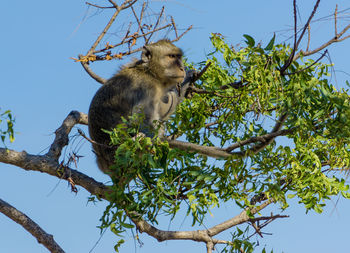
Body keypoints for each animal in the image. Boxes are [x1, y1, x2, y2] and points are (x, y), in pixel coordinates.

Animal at [87, 39, 191, 174]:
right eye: (172, 56)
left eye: (179, 57)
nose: (182, 68)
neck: (149, 72)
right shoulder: (148, 88)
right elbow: (140, 121)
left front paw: (188, 79)